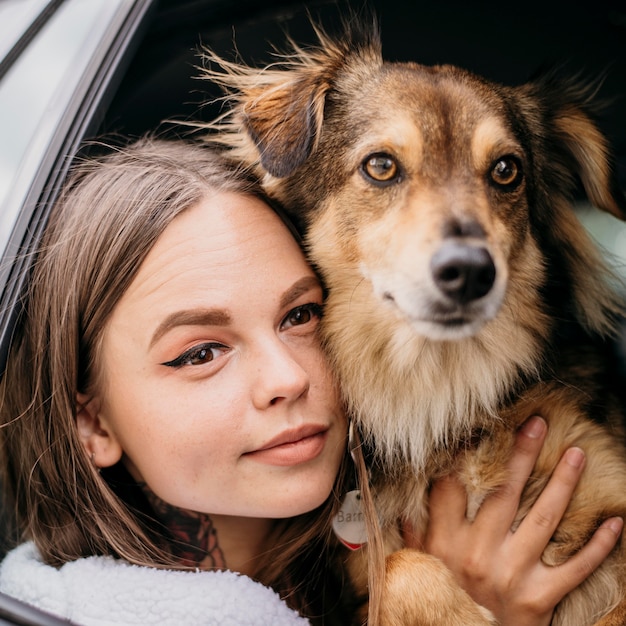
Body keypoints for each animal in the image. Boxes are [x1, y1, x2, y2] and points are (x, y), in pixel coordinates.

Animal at [200, 17, 624, 620]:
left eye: (506, 170)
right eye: (380, 166)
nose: (470, 272)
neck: (433, 393)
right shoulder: (360, 572)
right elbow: (400, 569)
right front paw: (468, 615)